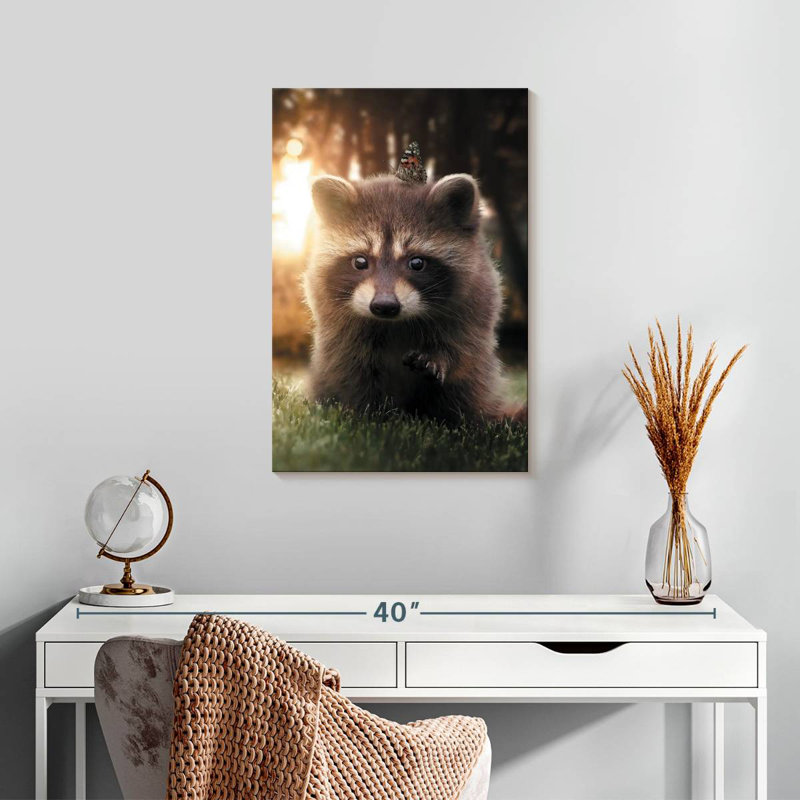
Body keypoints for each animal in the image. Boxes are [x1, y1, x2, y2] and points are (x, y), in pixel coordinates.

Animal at [303, 172, 506, 423]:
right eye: (360, 261)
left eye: (416, 262)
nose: (384, 306)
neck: (394, 323)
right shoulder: (337, 326)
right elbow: (349, 365)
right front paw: (365, 414)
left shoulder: (476, 300)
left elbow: (463, 346)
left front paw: (439, 358)